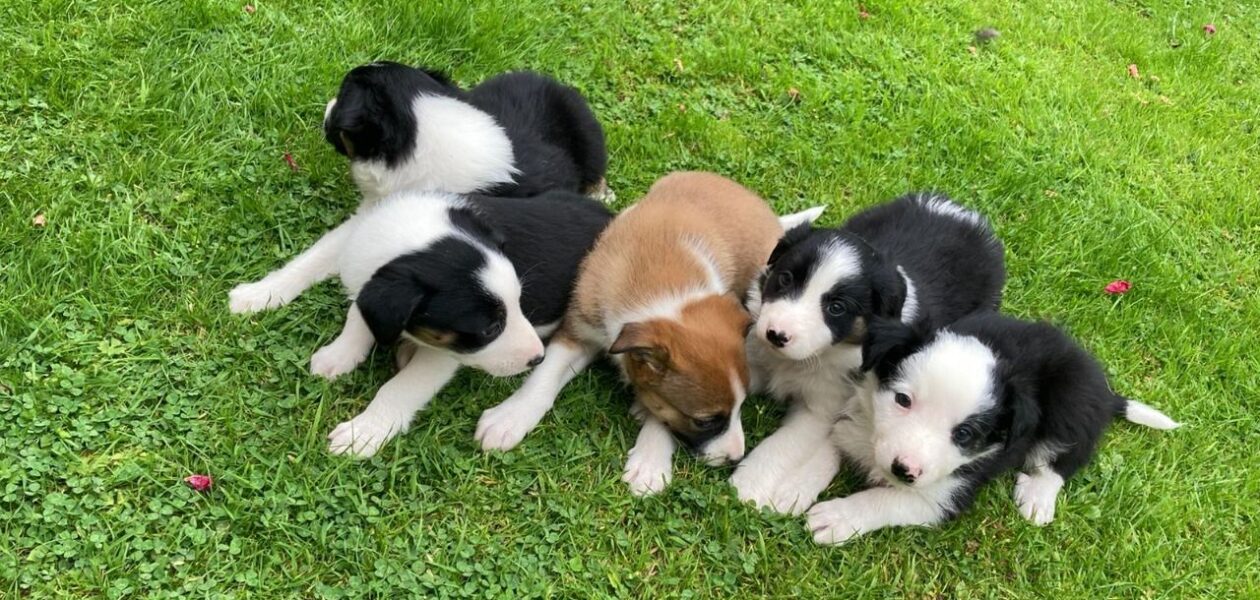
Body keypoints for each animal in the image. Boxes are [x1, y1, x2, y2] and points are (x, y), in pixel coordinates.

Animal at [229, 62, 607, 316]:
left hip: (589, 136)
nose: (327, 106)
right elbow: (313, 257)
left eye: (341, 100)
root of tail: (549, 80)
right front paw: (255, 297)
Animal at [309, 190, 614, 456]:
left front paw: (363, 431)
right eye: (490, 329)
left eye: (519, 301)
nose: (538, 358)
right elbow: (359, 314)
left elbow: (399, 388)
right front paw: (337, 355)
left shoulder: (445, 355)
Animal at [473, 171, 826, 494]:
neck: (661, 285)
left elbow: (662, 414)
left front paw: (651, 461)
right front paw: (510, 417)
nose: (735, 458)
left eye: (742, 406)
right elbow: (544, 375)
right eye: (705, 421)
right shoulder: (579, 328)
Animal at [735, 194, 997, 514]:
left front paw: (748, 484)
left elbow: (782, 444)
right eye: (785, 279)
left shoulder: (823, 408)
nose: (776, 334)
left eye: (837, 308)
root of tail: (963, 214)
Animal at [806, 313, 1179, 544]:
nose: (904, 470)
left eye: (964, 434)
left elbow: (887, 499)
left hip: (1071, 399)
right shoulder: (853, 420)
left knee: (1068, 455)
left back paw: (1037, 495)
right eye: (902, 399)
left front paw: (838, 517)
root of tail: (1104, 391)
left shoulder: (948, 493)